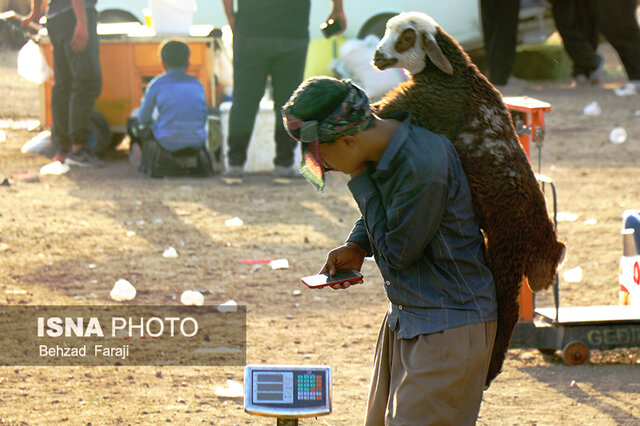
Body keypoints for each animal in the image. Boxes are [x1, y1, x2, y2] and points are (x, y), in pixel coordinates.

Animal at [372, 12, 568, 386]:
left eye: (406, 37)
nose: (377, 56)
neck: (451, 76)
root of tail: (544, 243)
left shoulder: (412, 105)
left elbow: (376, 108)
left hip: (506, 252)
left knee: (507, 308)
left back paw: (491, 370)